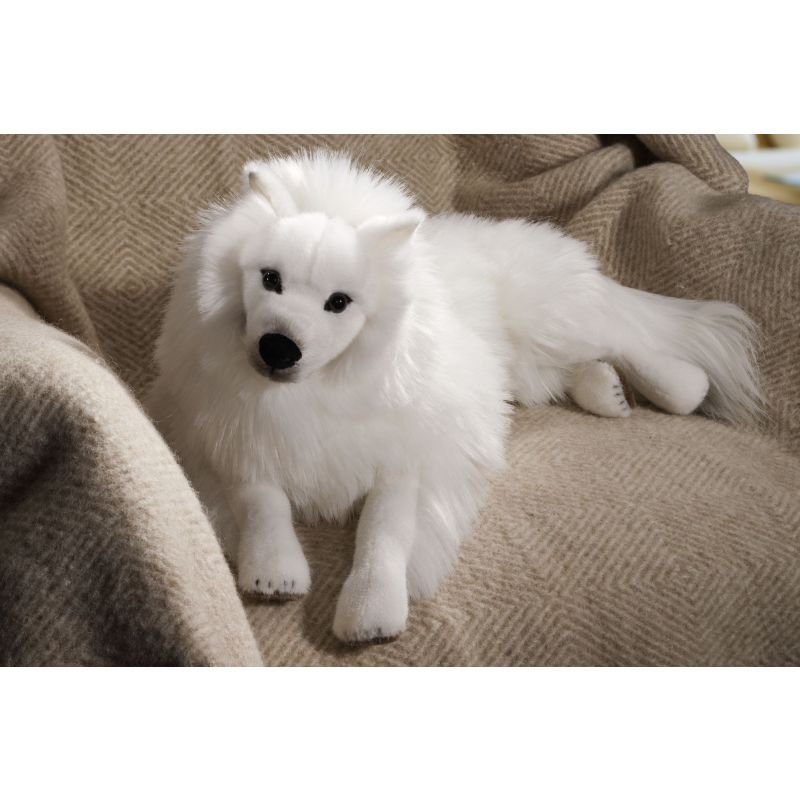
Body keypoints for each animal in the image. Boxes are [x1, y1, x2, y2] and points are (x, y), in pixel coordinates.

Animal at [148, 150, 762, 643]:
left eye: (339, 302)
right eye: (269, 279)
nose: (278, 347)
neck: (323, 388)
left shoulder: (405, 464)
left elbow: (382, 535)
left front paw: (371, 613)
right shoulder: (233, 438)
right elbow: (261, 502)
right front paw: (274, 573)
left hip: (552, 320)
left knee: (627, 336)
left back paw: (679, 388)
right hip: (529, 364)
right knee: (569, 368)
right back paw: (606, 392)